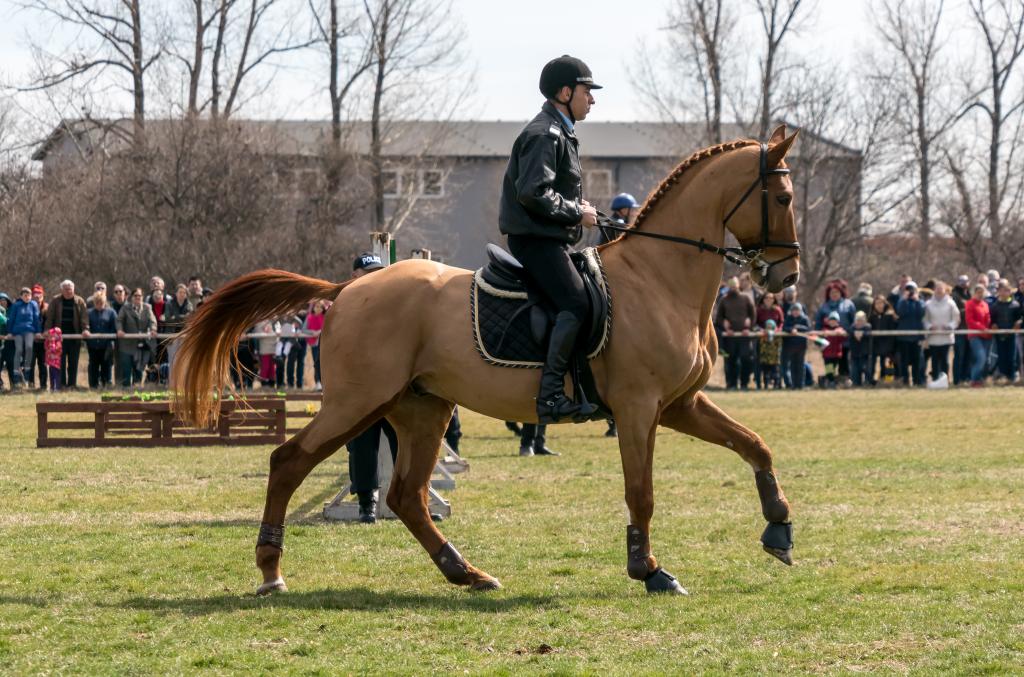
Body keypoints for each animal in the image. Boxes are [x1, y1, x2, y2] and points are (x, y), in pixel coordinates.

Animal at [172, 123, 802, 594]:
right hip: (357, 402)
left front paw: (779, 529)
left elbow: (755, 445)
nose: (787, 277)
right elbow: (640, 491)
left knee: (407, 495)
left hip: (419, 408)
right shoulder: (639, 408)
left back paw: (466, 572)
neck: (660, 278)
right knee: (290, 463)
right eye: (784, 198)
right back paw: (271, 572)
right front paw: (649, 570)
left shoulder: (679, 404)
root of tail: (349, 288)